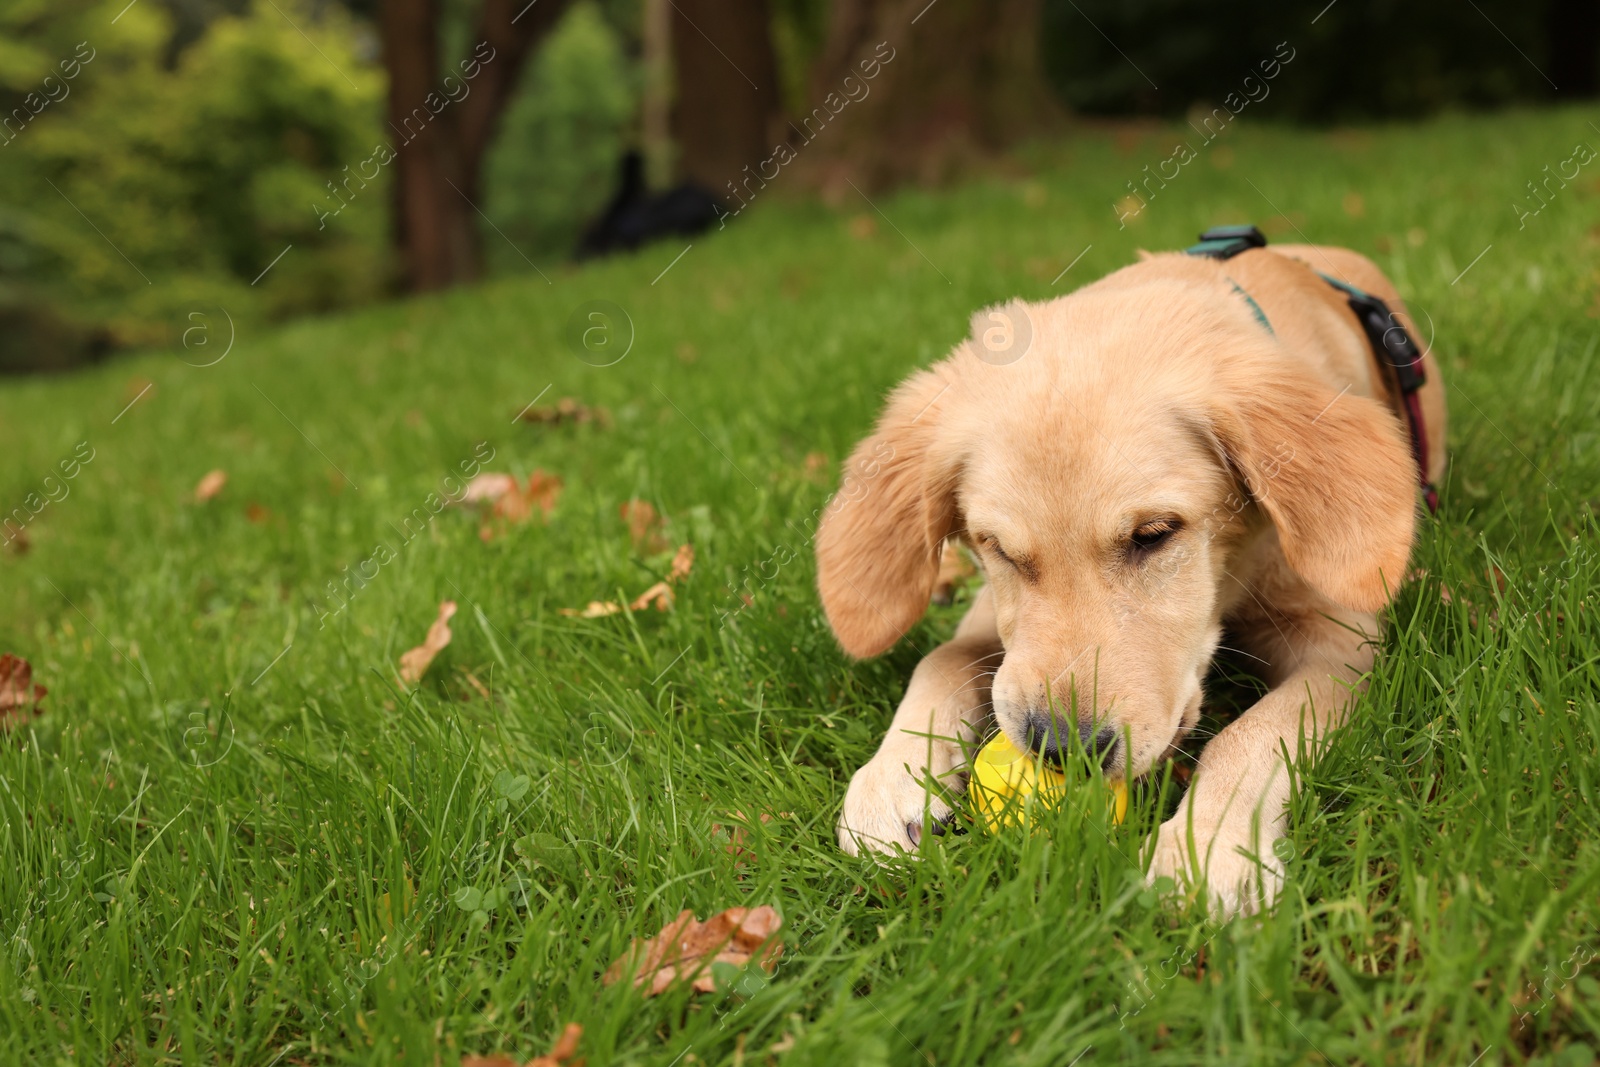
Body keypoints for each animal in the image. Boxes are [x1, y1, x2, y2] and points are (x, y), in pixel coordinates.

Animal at [819, 238, 1446, 915]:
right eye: (998, 548)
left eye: (1155, 533)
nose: (1062, 751)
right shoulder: (993, 617)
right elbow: (940, 658)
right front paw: (894, 778)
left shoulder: (1341, 639)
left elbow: (1256, 732)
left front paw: (1205, 848)